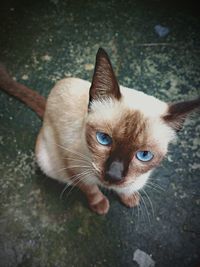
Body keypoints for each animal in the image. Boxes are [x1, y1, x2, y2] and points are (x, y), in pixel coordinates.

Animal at [0, 48, 200, 216]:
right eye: (103, 139)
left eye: (144, 155)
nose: (113, 175)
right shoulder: (75, 168)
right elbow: (91, 189)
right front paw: (100, 206)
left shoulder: (136, 178)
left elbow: (128, 188)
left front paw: (130, 198)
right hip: (48, 161)